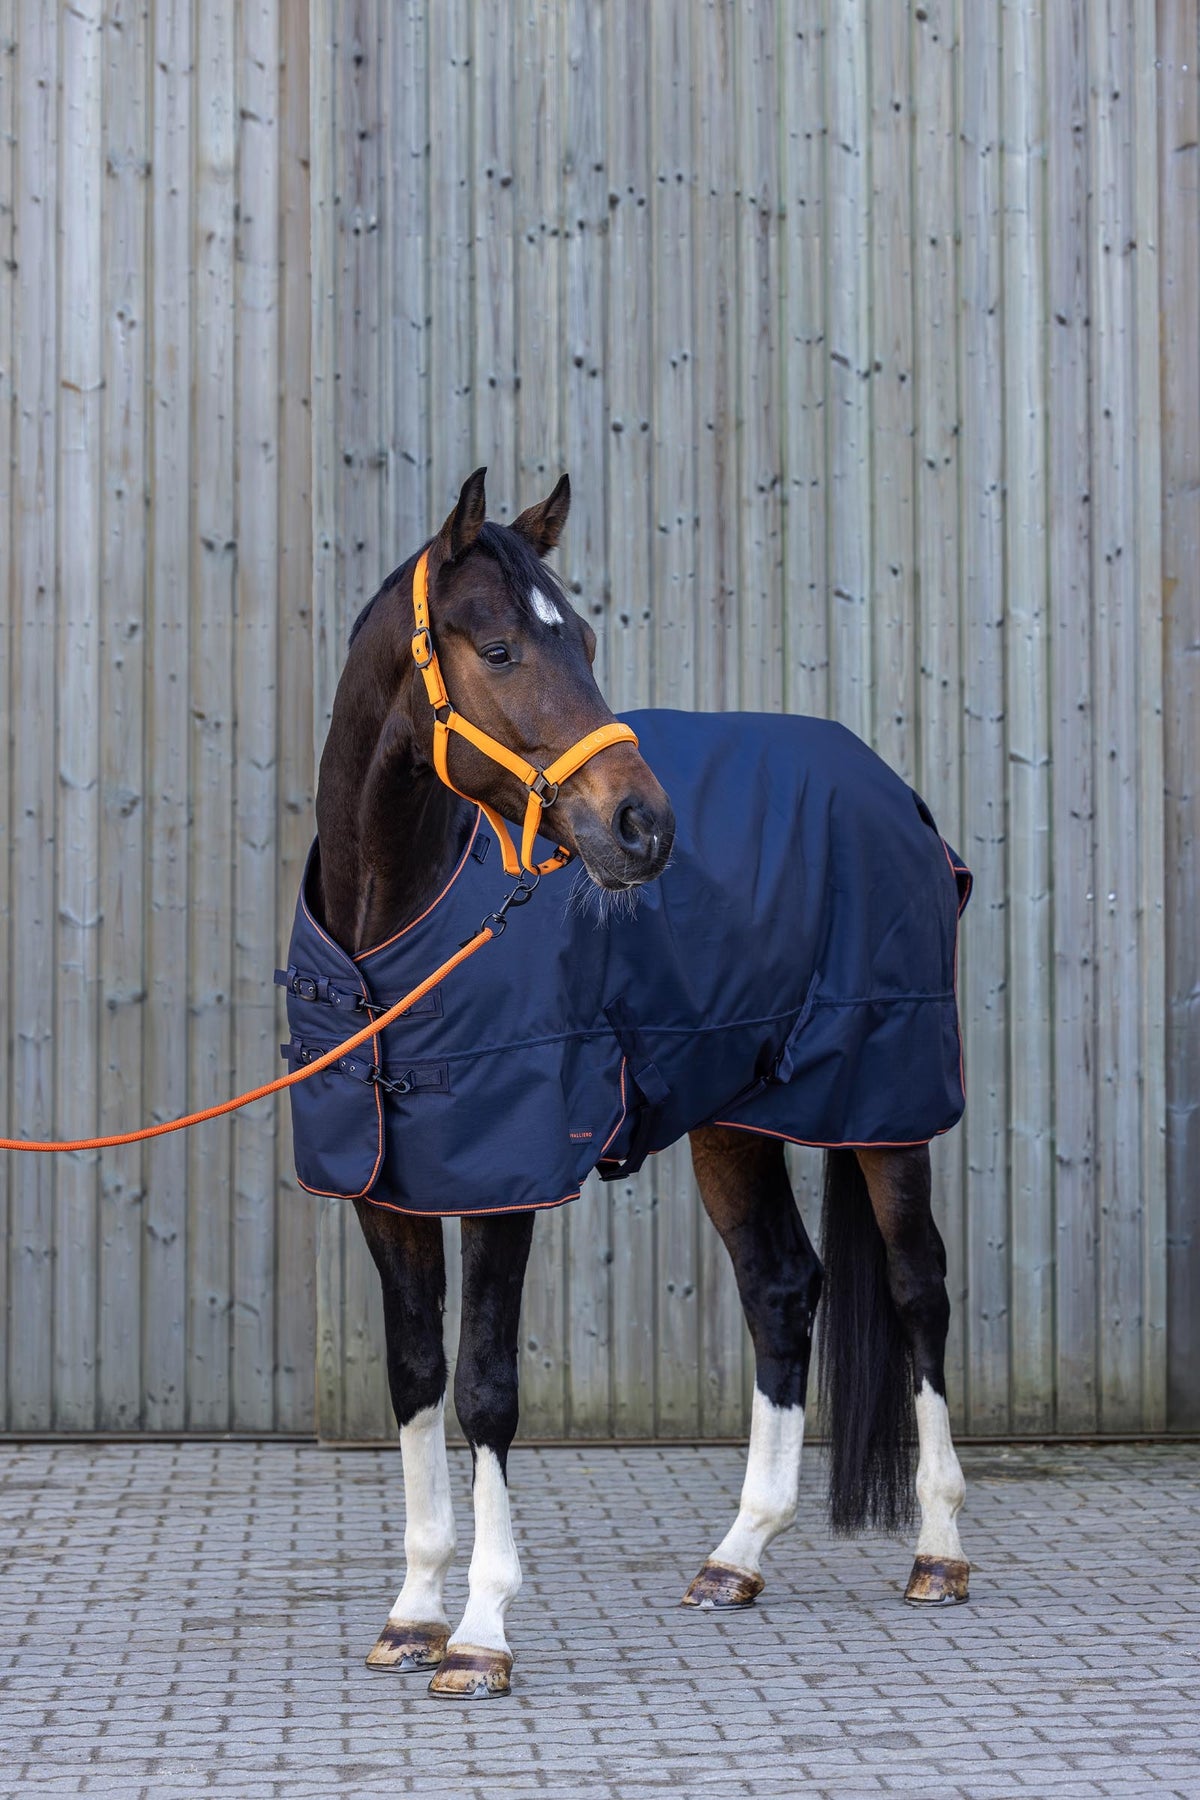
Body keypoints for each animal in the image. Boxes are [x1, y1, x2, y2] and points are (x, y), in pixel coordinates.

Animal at [294, 468, 970, 1698]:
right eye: (501, 648)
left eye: (591, 639)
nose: (643, 828)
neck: (392, 940)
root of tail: (892, 791)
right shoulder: (381, 1191)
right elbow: (417, 1377)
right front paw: (412, 1614)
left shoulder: (506, 1182)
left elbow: (487, 1387)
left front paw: (481, 1634)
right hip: (733, 1122)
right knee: (781, 1289)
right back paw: (736, 1556)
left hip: (885, 1107)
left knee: (917, 1290)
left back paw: (939, 1551)